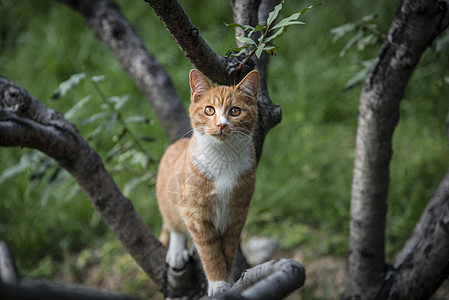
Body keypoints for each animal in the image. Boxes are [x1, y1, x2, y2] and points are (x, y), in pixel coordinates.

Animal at [156, 69, 258, 296]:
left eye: (235, 111)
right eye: (209, 110)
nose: (221, 124)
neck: (223, 157)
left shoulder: (236, 215)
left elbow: (228, 252)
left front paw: (228, 281)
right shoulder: (197, 215)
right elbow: (210, 254)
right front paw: (218, 283)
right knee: (173, 224)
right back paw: (176, 251)